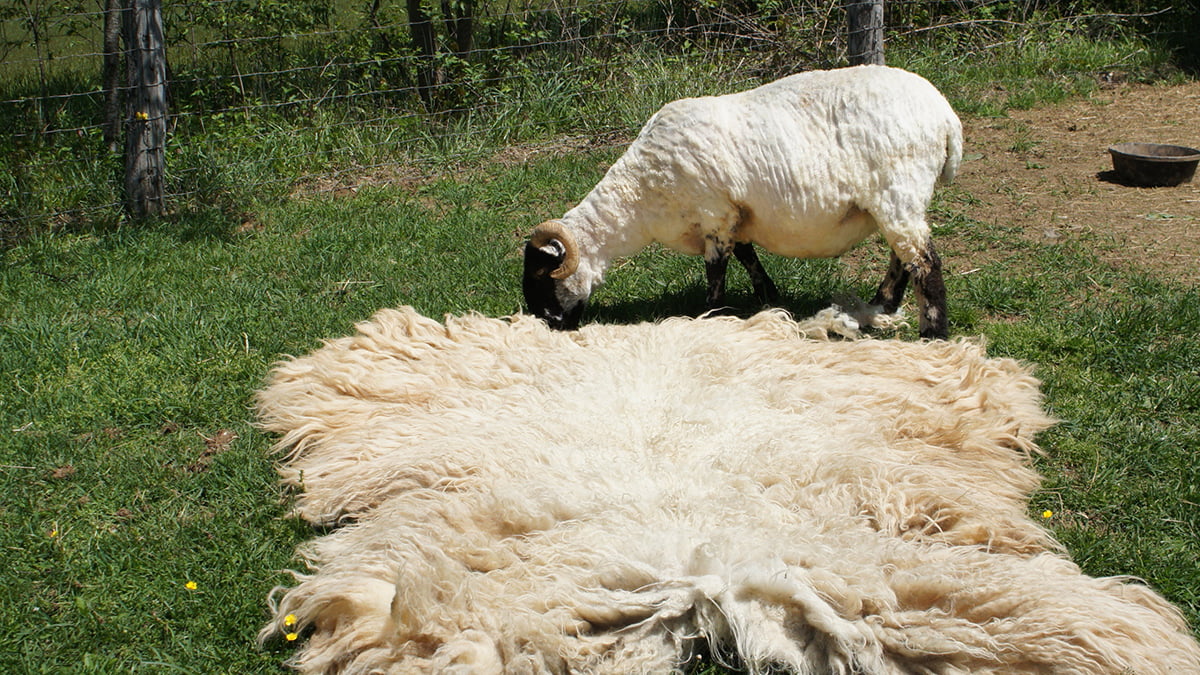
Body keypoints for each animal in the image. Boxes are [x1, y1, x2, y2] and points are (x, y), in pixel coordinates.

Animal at [525, 62, 964, 336]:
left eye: (542, 277)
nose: (550, 327)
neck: (639, 195)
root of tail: (945, 116)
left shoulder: (714, 213)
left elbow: (717, 270)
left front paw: (711, 313)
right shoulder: (734, 215)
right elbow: (746, 254)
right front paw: (768, 294)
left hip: (899, 188)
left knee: (926, 264)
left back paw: (933, 333)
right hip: (900, 200)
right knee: (903, 258)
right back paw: (883, 304)